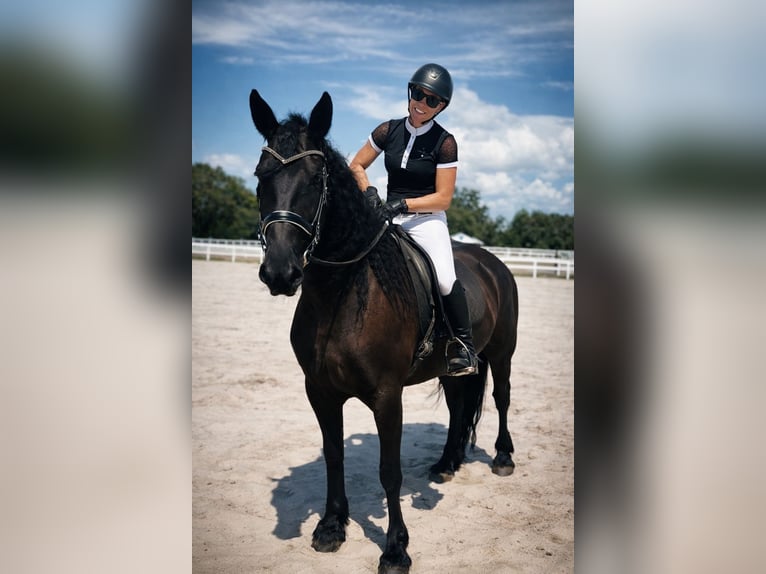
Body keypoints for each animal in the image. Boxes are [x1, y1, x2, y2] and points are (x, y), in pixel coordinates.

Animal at [249, 89, 519, 574]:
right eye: (261, 176)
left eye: (316, 180)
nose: (280, 272)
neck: (340, 295)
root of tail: (492, 262)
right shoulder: (319, 390)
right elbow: (334, 456)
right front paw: (331, 527)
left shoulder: (387, 395)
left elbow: (389, 471)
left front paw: (395, 549)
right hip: (454, 368)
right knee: (457, 406)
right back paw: (446, 464)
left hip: (503, 353)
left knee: (503, 397)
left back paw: (503, 457)